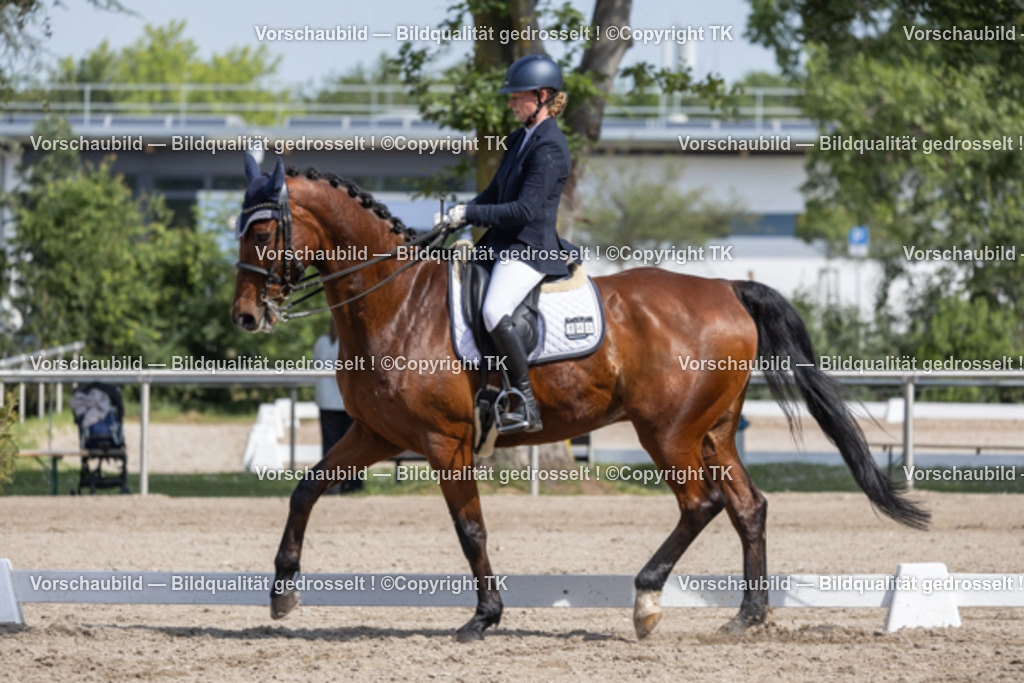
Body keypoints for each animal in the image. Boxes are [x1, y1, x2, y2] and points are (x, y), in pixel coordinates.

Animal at [232, 159, 929, 643]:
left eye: (263, 233)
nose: (245, 317)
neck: (396, 302)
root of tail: (728, 289)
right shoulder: (375, 433)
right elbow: (304, 490)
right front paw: (283, 592)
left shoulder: (445, 443)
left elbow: (470, 528)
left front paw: (484, 617)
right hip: (713, 430)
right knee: (747, 506)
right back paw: (747, 617)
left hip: (667, 432)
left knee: (701, 505)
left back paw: (646, 601)